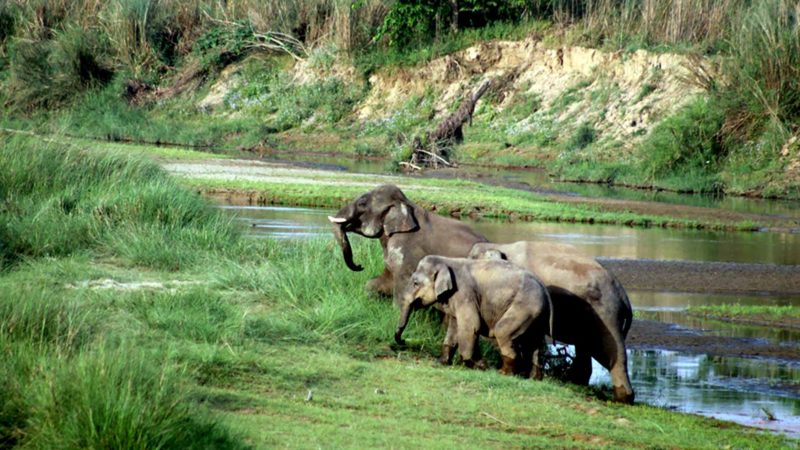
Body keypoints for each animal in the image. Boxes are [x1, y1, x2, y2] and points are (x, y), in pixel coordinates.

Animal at [326, 185, 488, 298]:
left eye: (362, 203)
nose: (360, 266)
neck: (405, 202)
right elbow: (385, 278)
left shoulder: (406, 248)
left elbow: (402, 285)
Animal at [396, 255, 556, 378]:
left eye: (415, 283)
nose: (403, 341)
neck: (447, 260)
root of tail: (544, 289)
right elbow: (454, 326)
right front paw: (441, 362)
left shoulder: (464, 293)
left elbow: (471, 325)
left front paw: (478, 365)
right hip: (536, 315)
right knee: (534, 343)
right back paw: (534, 378)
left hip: (525, 307)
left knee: (503, 332)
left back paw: (503, 373)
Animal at [466, 243, 636, 404]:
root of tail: (624, 297)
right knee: (585, 349)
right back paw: (575, 381)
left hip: (606, 315)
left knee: (612, 353)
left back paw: (622, 399)